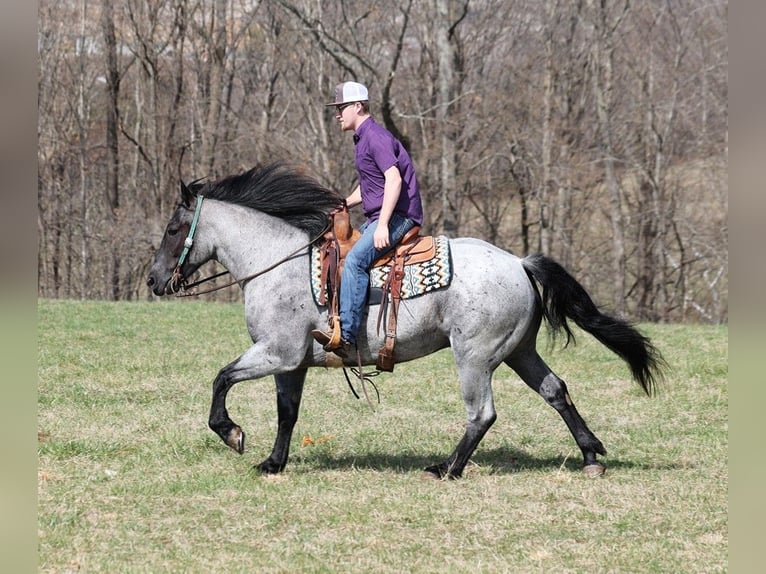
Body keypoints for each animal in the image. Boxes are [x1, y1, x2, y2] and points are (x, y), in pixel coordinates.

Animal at [148, 162, 664, 482]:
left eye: (173, 229)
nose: (153, 280)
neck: (277, 263)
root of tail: (519, 262)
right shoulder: (291, 364)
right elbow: (287, 414)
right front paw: (273, 463)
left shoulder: (276, 353)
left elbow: (221, 378)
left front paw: (231, 432)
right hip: (519, 351)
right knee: (555, 390)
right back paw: (591, 454)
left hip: (474, 356)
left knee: (482, 413)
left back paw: (447, 468)